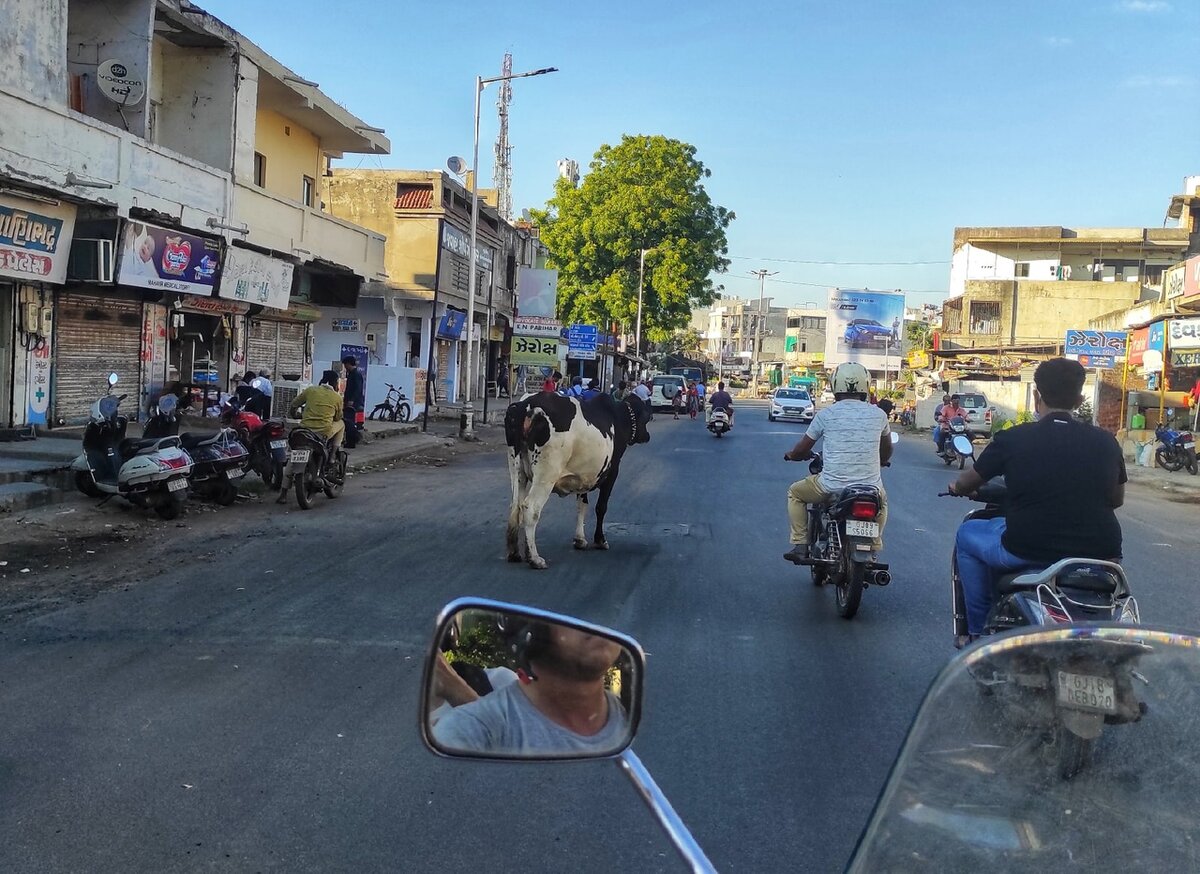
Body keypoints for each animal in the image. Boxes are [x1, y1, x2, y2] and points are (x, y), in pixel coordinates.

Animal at [506, 393, 657, 569]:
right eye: (646, 417)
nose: (647, 436)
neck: (618, 417)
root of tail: (526, 406)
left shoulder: (583, 476)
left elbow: (582, 505)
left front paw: (579, 539)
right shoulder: (613, 471)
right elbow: (601, 507)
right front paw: (600, 540)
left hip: (517, 469)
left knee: (515, 506)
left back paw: (514, 553)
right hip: (546, 474)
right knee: (530, 508)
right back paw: (535, 558)